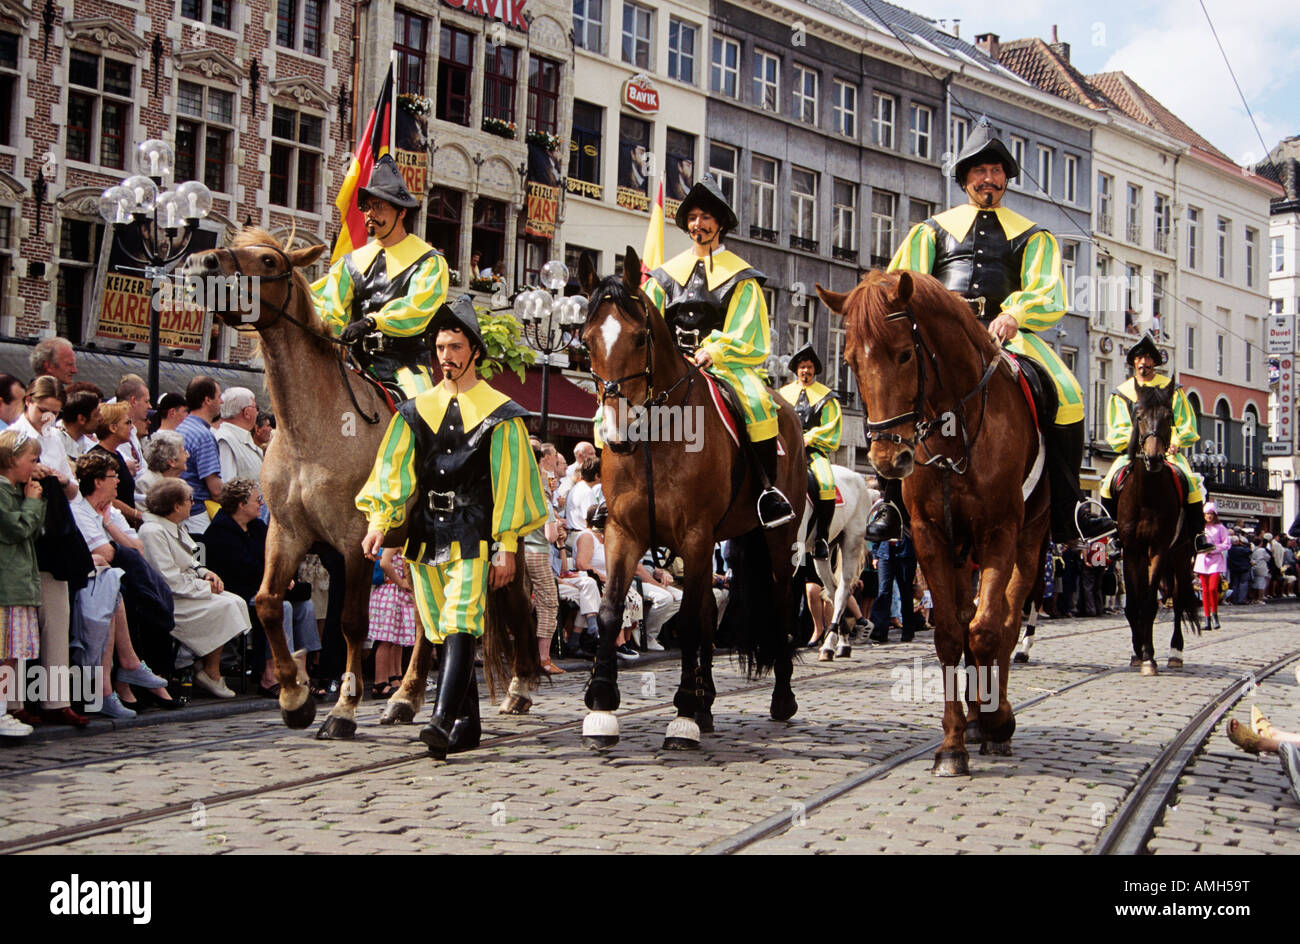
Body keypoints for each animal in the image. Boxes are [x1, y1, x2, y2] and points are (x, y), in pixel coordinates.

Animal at [185, 227, 540, 738]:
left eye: (269, 261)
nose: (202, 263)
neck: (313, 432)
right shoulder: (286, 534)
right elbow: (268, 602)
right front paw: (295, 697)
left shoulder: (354, 542)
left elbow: (352, 623)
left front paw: (342, 710)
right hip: (415, 550)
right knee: (426, 623)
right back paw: (405, 697)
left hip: (494, 543)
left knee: (517, 604)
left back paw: (519, 688)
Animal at [577, 248, 806, 748]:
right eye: (586, 341)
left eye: (640, 337)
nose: (616, 435)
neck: (657, 439)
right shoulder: (624, 533)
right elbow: (611, 610)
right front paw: (602, 704)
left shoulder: (696, 535)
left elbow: (690, 621)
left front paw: (681, 714)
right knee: (704, 611)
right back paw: (706, 703)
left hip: (778, 540)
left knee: (780, 605)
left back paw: (780, 699)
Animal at [821, 270, 1055, 780]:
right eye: (849, 360)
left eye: (904, 354)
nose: (887, 459)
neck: (956, 432)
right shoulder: (931, 537)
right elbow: (950, 634)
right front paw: (952, 743)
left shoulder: (998, 533)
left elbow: (988, 630)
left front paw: (994, 720)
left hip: (1029, 541)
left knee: (1007, 623)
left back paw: (994, 717)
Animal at [1112, 377, 1201, 670]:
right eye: (1138, 416)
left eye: (1169, 416)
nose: (1153, 458)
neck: (1147, 496)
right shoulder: (1131, 551)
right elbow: (1133, 604)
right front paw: (1137, 651)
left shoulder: (1159, 549)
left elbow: (1150, 603)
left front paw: (1149, 656)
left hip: (1182, 555)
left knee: (1179, 598)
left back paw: (1175, 652)